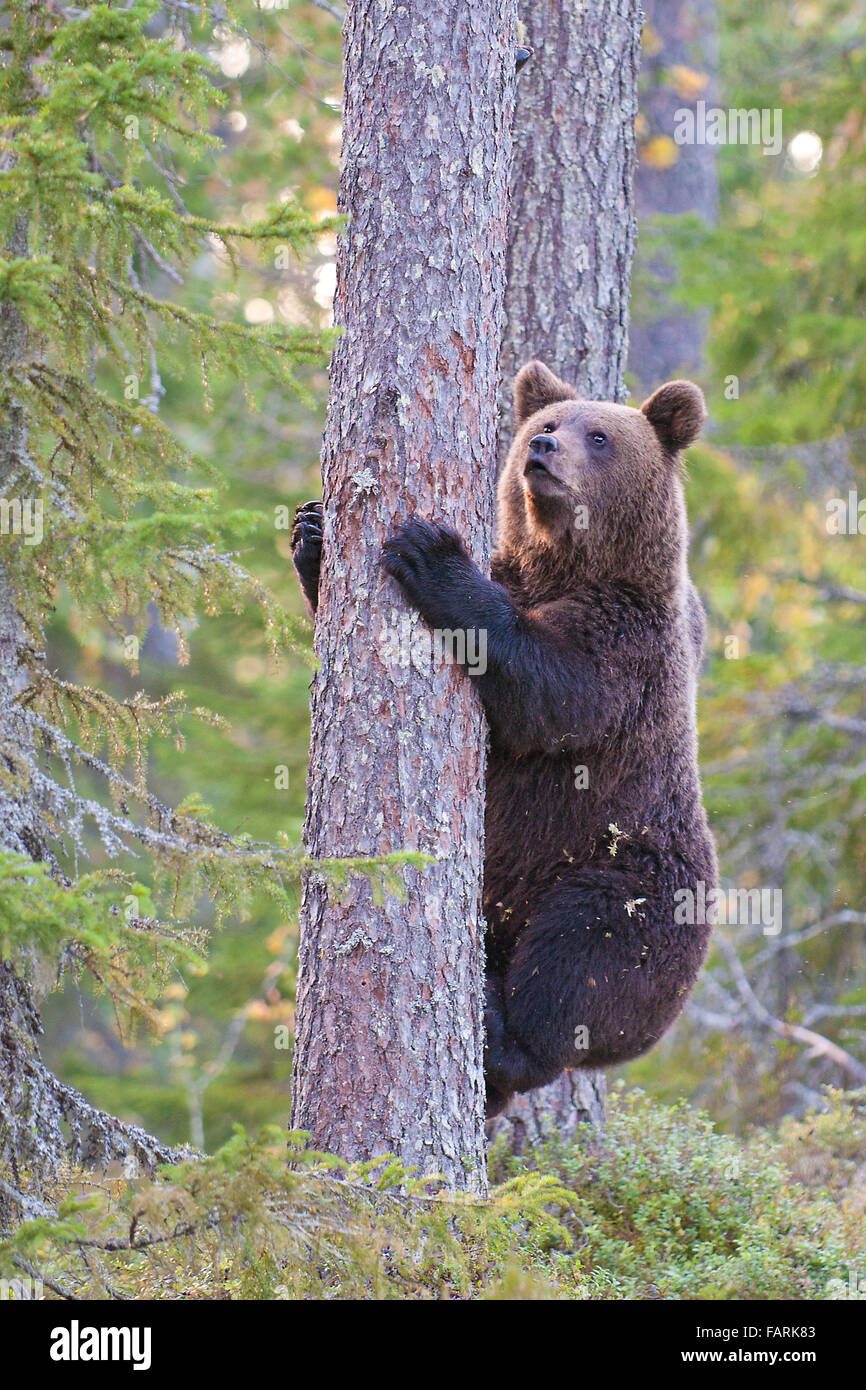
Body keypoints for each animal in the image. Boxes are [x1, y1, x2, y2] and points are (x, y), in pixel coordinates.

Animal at [294, 361, 722, 1117]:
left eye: (600, 436)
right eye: (546, 423)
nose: (544, 450)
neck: (566, 565)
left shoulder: (627, 648)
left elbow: (545, 692)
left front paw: (432, 553)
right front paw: (312, 532)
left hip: (630, 875)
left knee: (582, 957)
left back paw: (505, 1033)